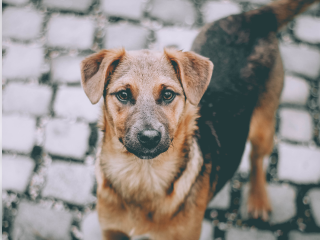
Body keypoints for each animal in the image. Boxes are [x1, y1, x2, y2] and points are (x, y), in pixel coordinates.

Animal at [80, 0, 318, 239]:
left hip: (264, 127)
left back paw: (257, 198)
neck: (142, 177)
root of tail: (252, 18)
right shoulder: (112, 231)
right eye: (123, 94)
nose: (149, 138)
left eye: (168, 94)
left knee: (256, 158)